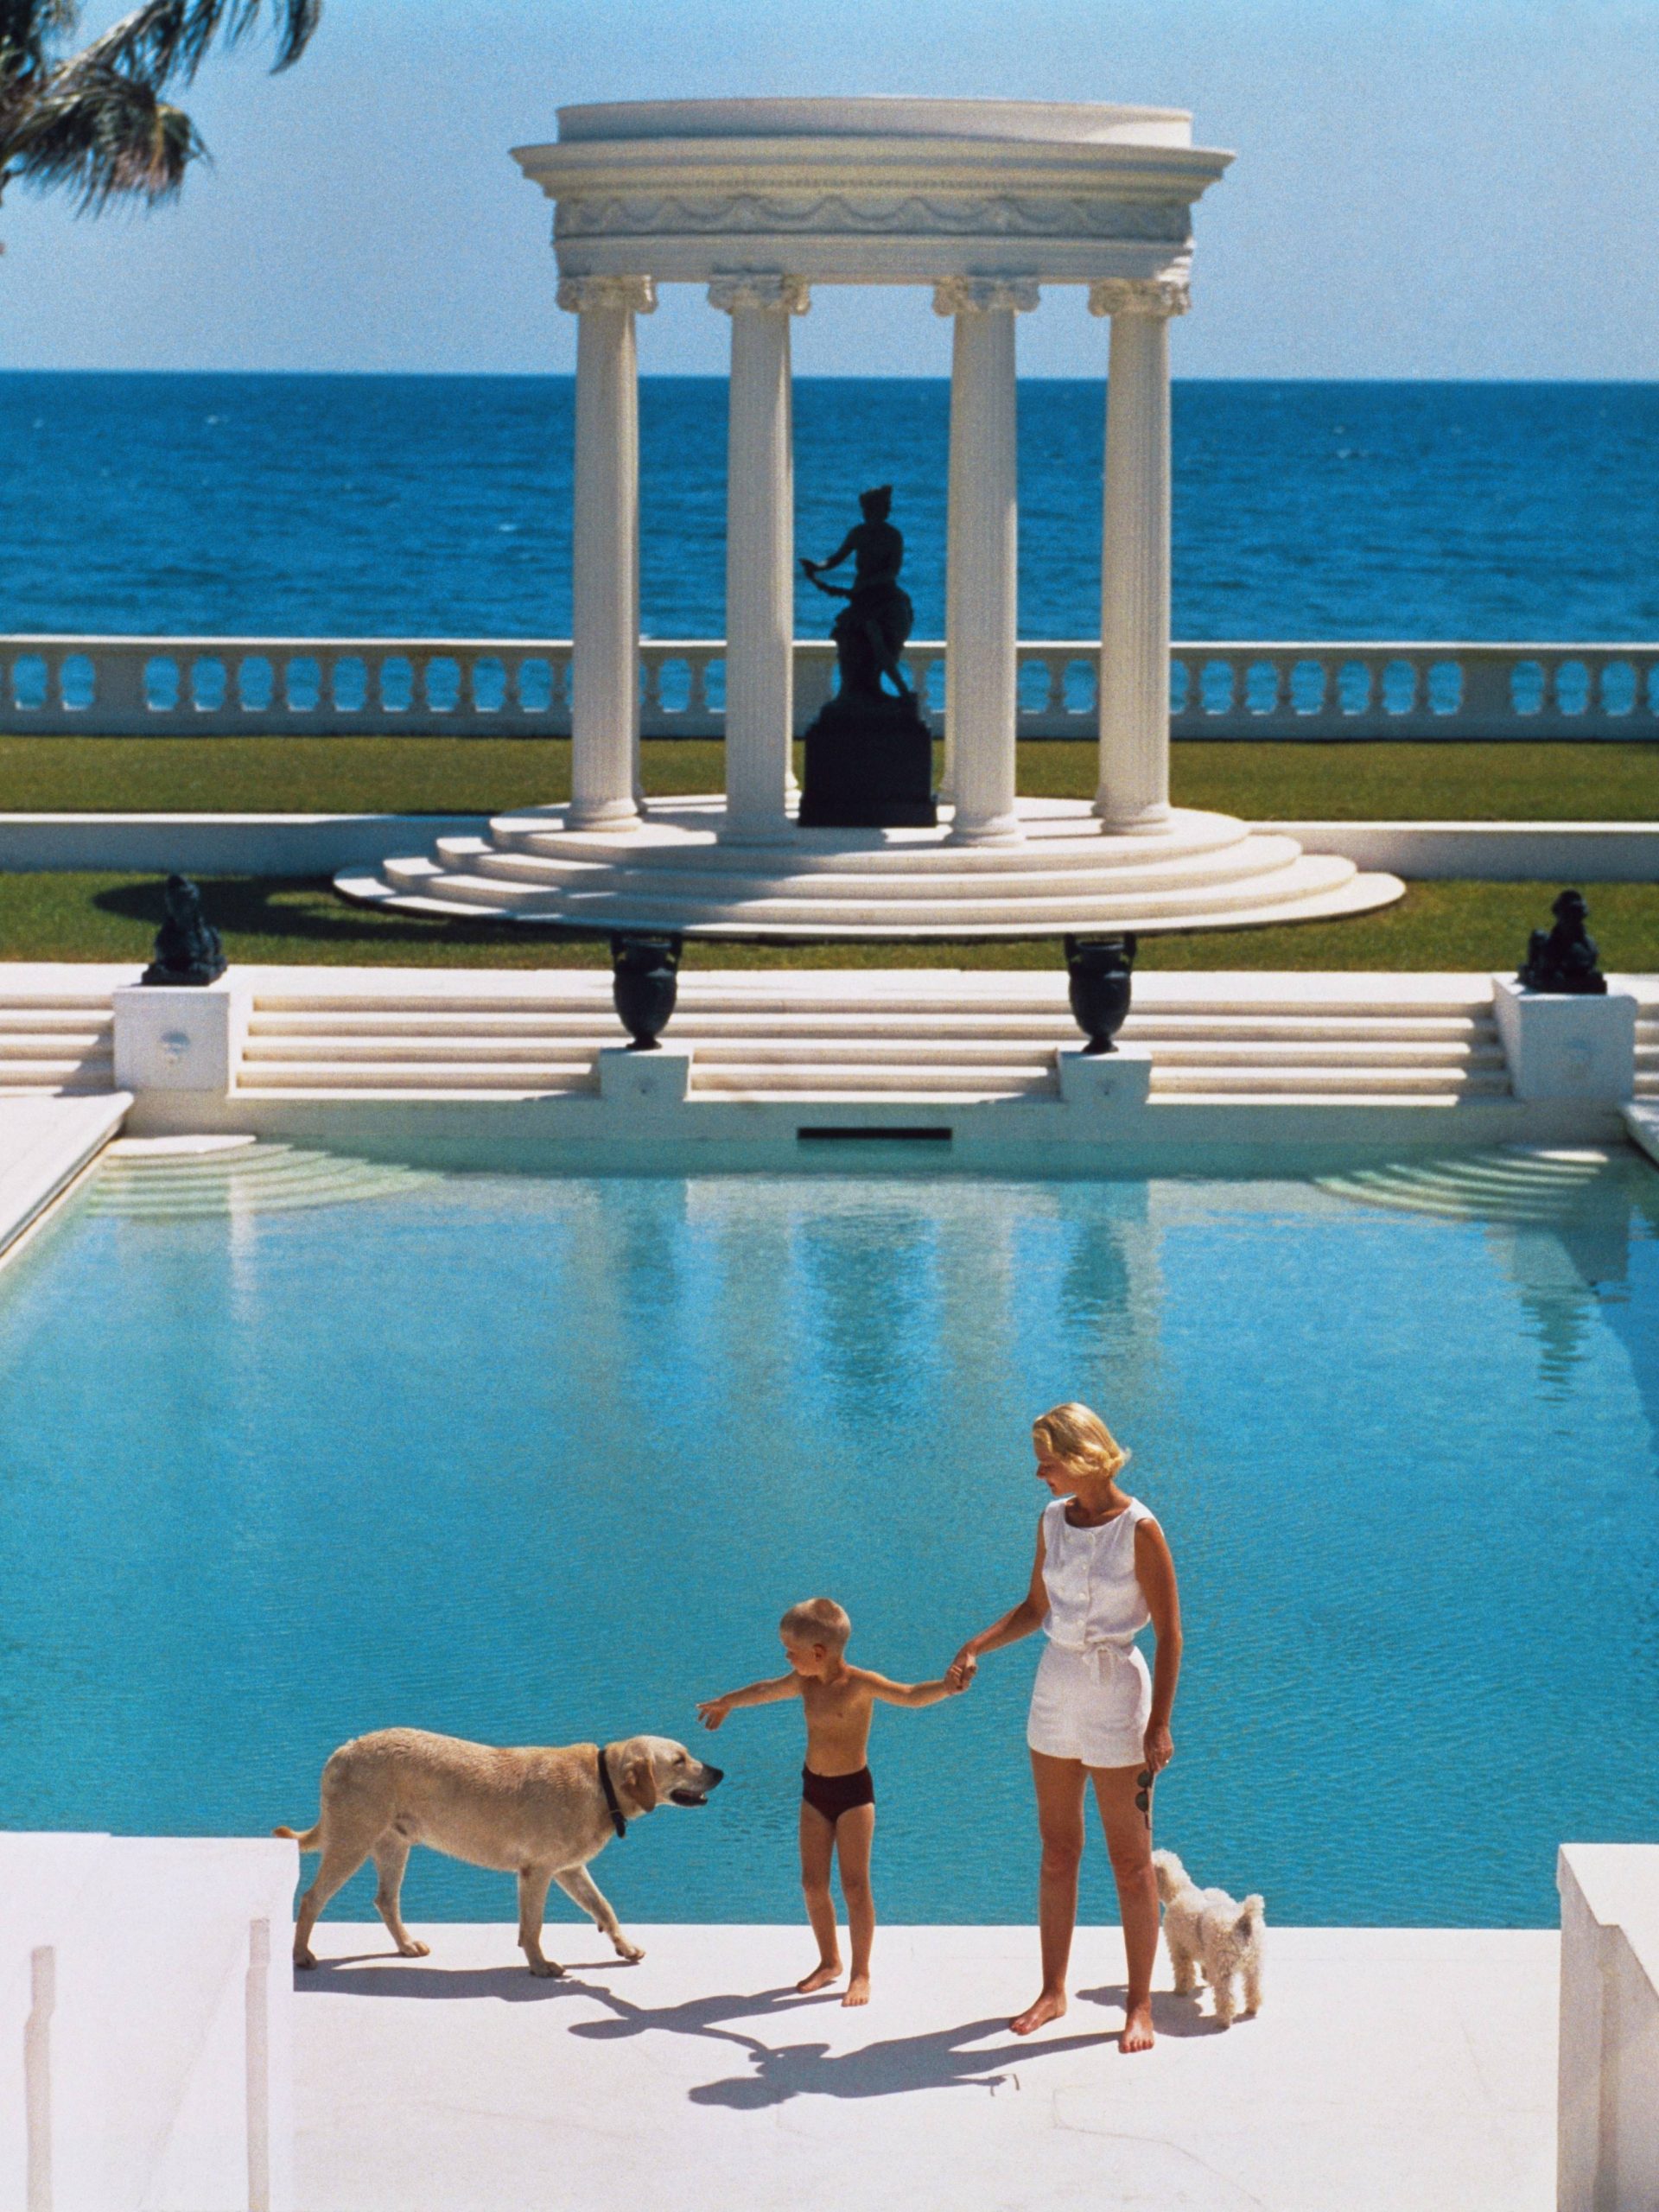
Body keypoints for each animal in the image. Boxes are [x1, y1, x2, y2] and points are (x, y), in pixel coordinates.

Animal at [276, 1725, 725, 1973]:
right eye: (680, 1760)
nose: (720, 1772)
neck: (602, 1783)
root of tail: (343, 1750)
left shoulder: (569, 1870)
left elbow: (604, 1907)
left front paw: (624, 1946)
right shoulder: (538, 1873)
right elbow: (533, 1926)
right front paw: (540, 1966)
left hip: (393, 1845)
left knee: (385, 1900)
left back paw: (405, 1945)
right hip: (352, 1840)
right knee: (311, 1898)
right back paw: (300, 1955)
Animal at [1159, 1849, 1274, 2025]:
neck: (1180, 1890)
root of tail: (1244, 1921)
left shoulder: (1178, 1946)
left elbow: (1183, 1972)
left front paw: (1180, 1990)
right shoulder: (1206, 1951)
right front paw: (1205, 1976)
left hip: (1224, 1968)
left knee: (1226, 1997)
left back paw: (1224, 2021)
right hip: (1254, 1964)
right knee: (1254, 1988)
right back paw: (1251, 2009)